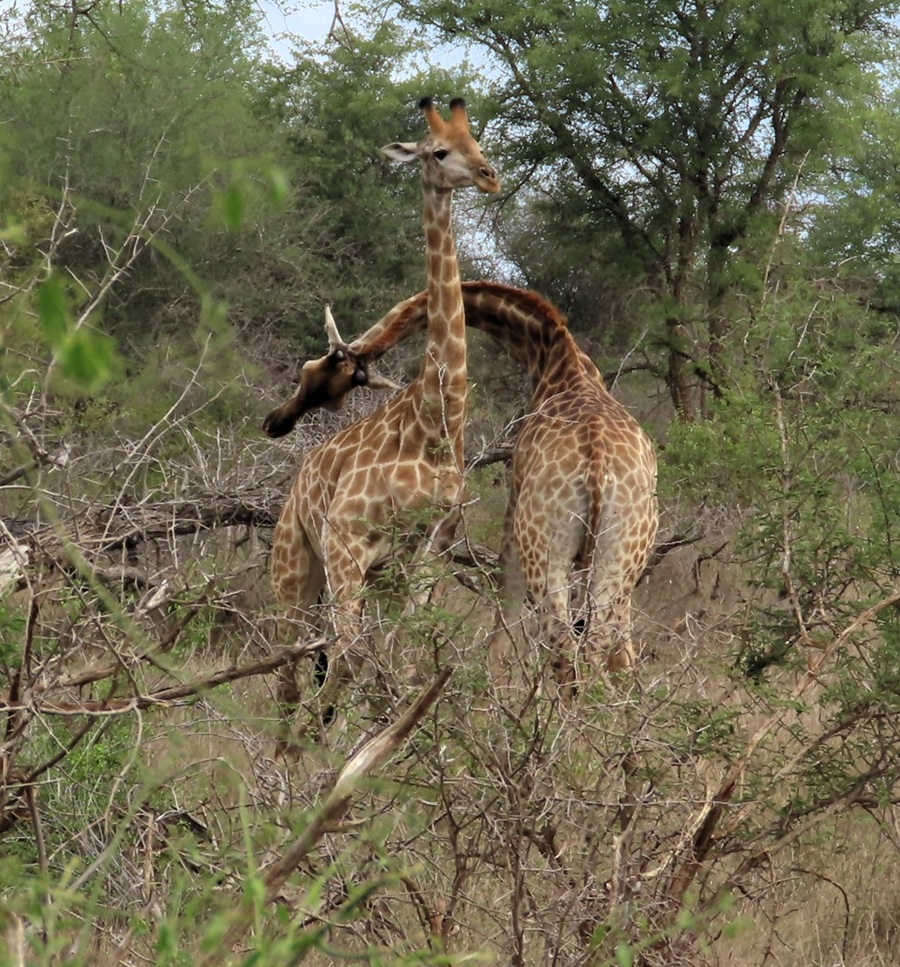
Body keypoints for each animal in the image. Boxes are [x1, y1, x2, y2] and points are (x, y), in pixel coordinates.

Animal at [264, 281, 659, 692]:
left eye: (311, 373)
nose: (277, 421)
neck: (555, 358)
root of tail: (597, 464)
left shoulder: (512, 532)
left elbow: (501, 632)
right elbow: (623, 655)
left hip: (546, 549)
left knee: (564, 651)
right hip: (621, 555)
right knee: (598, 650)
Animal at [266, 98, 500, 723]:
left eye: (478, 141)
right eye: (439, 151)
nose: (489, 176)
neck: (436, 420)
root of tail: (301, 473)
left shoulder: (423, 559)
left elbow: (394, 660)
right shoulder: (346, 543)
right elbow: (350, 659)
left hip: (371, 578)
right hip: (296, 564)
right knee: (289, 672)